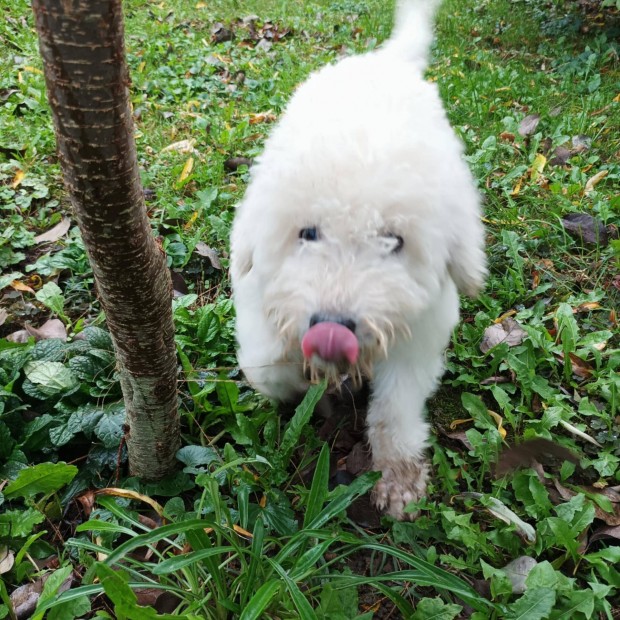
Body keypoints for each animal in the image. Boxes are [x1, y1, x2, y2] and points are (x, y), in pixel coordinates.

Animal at [230, 0, 486, 520]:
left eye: (394, 240)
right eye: (308, 233)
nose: (332, 328)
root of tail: (385, 62)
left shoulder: (419, 328)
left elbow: (396, 405)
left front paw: (398, 480)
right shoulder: (258, 291)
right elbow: (266, 363)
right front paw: (305, 386)